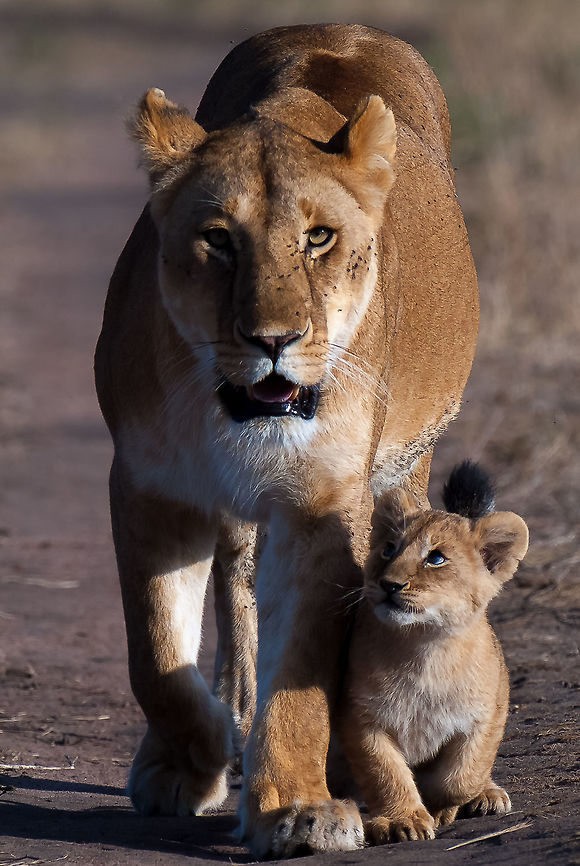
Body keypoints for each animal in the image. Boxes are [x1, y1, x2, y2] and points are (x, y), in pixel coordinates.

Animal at [94, 24, 479, 859]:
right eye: (217, 241)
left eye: (319, 238)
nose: (274, 341)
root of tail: (342, 28)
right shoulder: (150, 484)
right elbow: (156, 653)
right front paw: (191, 761)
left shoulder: (320, 500)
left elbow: (300, 664)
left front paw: (297, 809)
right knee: (235, 597)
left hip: (406, 466)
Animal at [338, 462, 529, 844]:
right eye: (389, 549)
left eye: (436, 558)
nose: (389, 584)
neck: (424, 649)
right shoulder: (362, 718)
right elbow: (385, 773)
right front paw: (402, 820)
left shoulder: (487, 713)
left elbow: (462, 775)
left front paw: (441, 807)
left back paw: (488, 795)